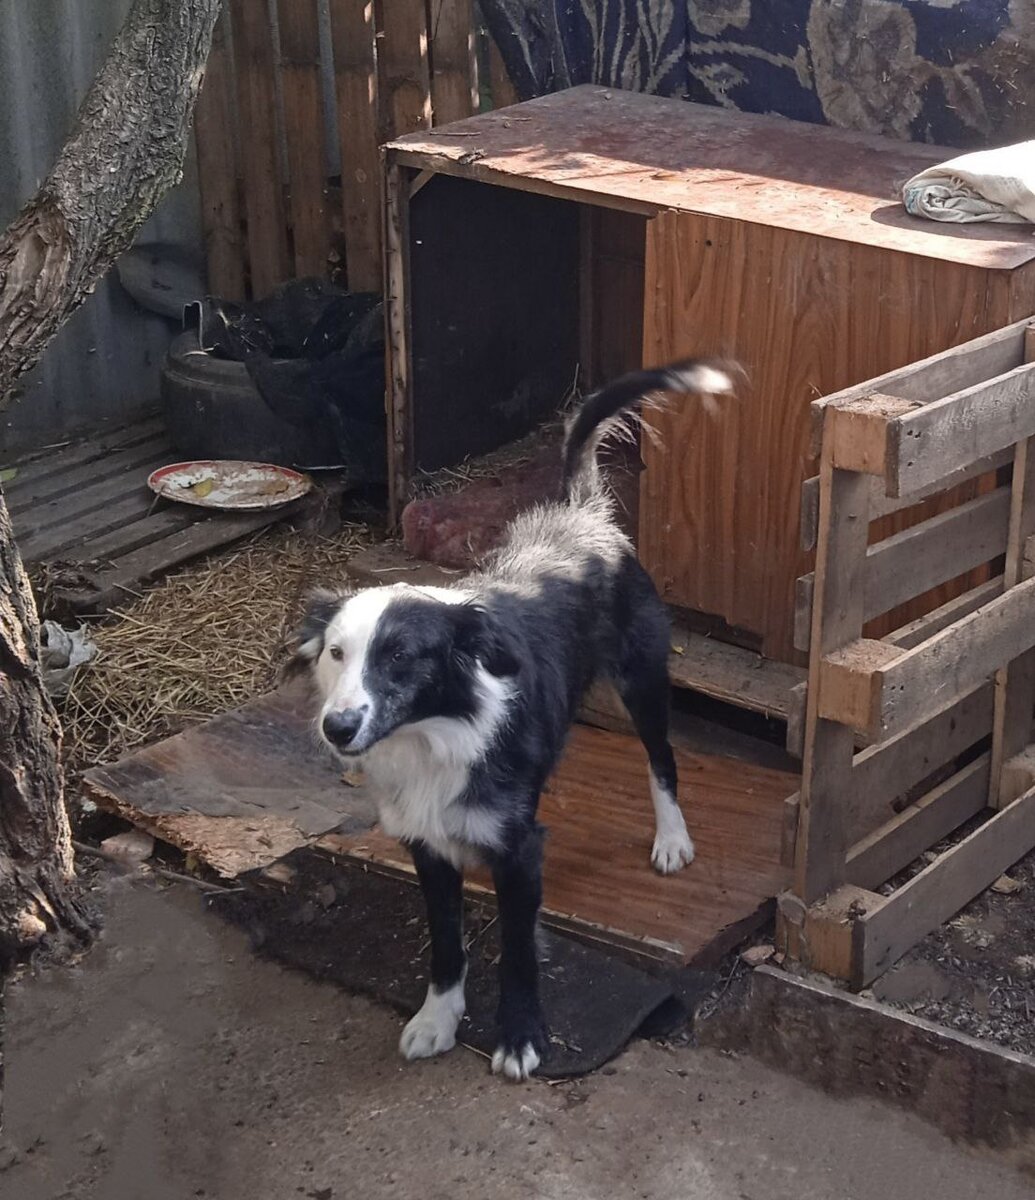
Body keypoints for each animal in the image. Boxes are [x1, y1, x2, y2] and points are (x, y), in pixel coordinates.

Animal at [288, 358, 734, 1081]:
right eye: (336, 653)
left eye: (400, 655)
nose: (338, 728)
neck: (432, 738)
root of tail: (582, 513)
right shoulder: (425, 847)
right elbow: (446, 945)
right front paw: (437, 1018)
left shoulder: (519, 853)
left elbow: (520, 952)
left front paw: (521, 1036)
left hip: (642, 681)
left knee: (662, 759)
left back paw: (672, 838)